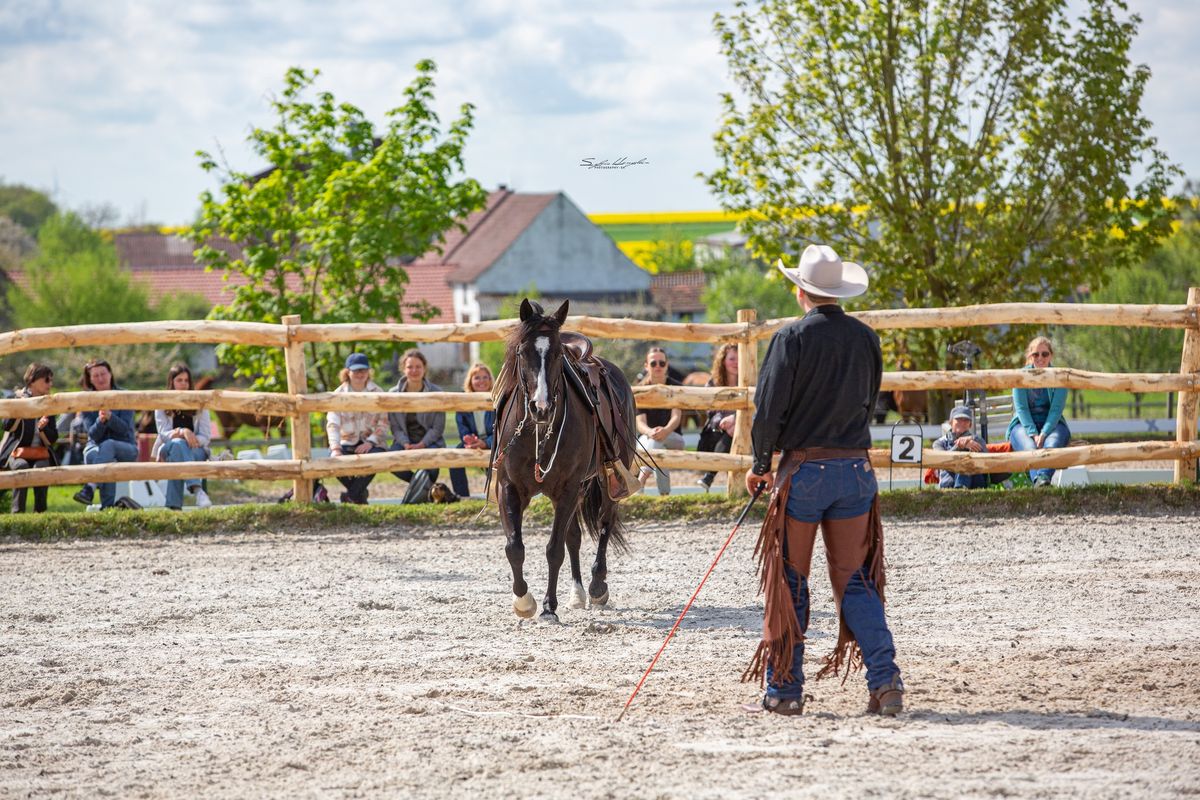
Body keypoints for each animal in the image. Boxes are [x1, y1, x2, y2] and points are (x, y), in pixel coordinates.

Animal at [489, 299, 638, 623]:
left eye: (558, 354)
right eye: (522, 352)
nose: (541, 407)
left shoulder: (569, 487)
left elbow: (553, 549)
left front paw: (548, 607)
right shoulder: (509, 487)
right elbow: (514, 546)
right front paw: (524, 602)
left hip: (606, 480)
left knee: (605, 522)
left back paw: (596, 587)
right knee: (575, 536)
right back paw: (577, 593)